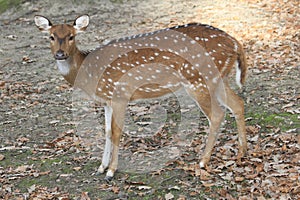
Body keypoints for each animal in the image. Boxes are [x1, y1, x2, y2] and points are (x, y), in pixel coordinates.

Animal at [34, 14, 248, 180]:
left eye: (72, 36)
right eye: (51, 36)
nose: (60, 54)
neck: (89, 72)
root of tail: (235, 42)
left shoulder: (120, 95)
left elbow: (116, 132)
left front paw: (111, 171)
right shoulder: (106, 101)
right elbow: (106, 132)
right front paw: (101, 167)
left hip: (198, 80)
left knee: (217, 114)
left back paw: (203, 161)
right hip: (217, 78)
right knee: (238, 103)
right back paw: (242, 151)